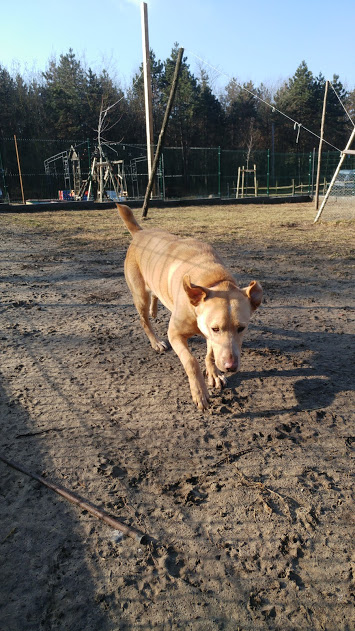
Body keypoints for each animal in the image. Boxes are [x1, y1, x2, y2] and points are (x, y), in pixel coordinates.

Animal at [118, 205, 262, 412]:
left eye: (241, 328)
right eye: (215, 328)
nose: (230, 366)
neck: (214, 280)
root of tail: (140, 233)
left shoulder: (210, 337)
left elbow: (210, 354)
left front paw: (214, 374)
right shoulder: (176, 334)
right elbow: (191, 361)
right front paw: (200, 392)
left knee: (155, 294)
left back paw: (155, 310)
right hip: (139, 295)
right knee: (144, 319)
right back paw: (155, 341)